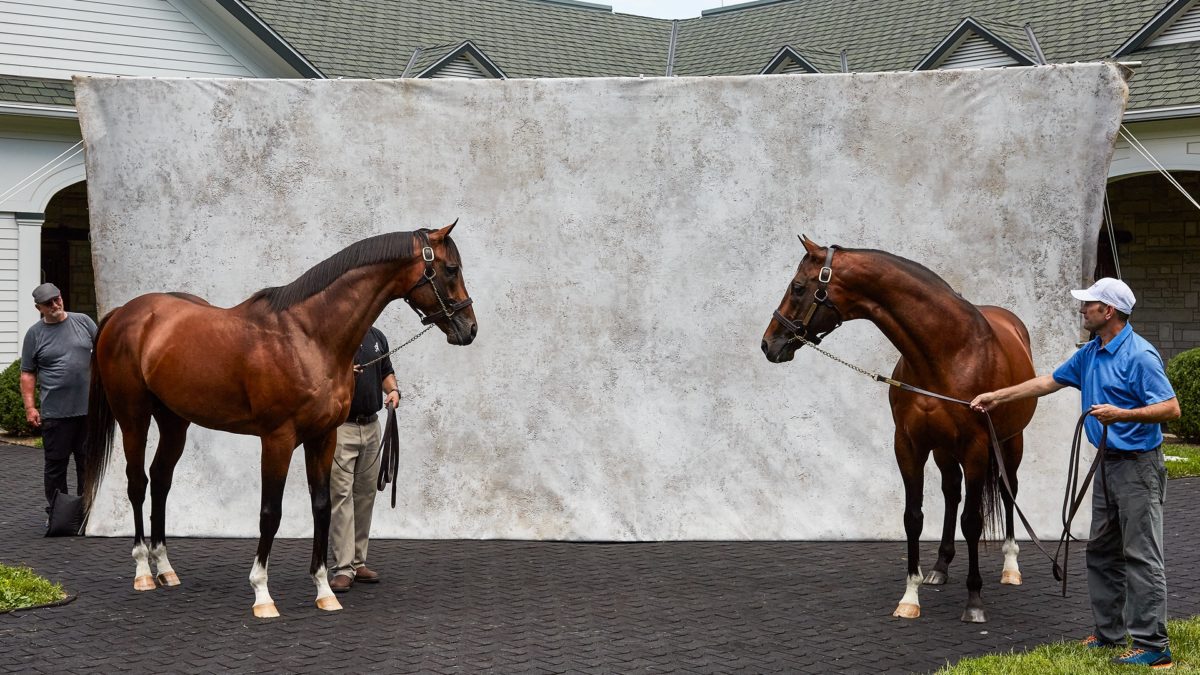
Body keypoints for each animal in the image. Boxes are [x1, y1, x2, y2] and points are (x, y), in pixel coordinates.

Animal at [81, 220, 477, 614]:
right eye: (451, 269)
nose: (470, 328)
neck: (307, 336)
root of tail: (125, 313)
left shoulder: (324, 436)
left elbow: (322, 507)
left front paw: (324, 590)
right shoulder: (277, 439)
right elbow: (270, 512)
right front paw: (262, 593)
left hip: (174, 420)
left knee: (161, 479)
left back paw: (165, 569)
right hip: (133, 416)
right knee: (137, 483)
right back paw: (143, 572)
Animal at [763, 235, 1036, 619]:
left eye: (799, 287)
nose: (768, 343)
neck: (950, 352)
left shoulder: (976, 447)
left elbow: (972, 520)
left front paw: (974, 600)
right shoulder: (909, 445)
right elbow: (913, 517)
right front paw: (910, 596)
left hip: (1010, 442)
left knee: (1006, 489)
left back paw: (1011, 568)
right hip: (944, 450)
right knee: (952, 492)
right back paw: (940, 567)